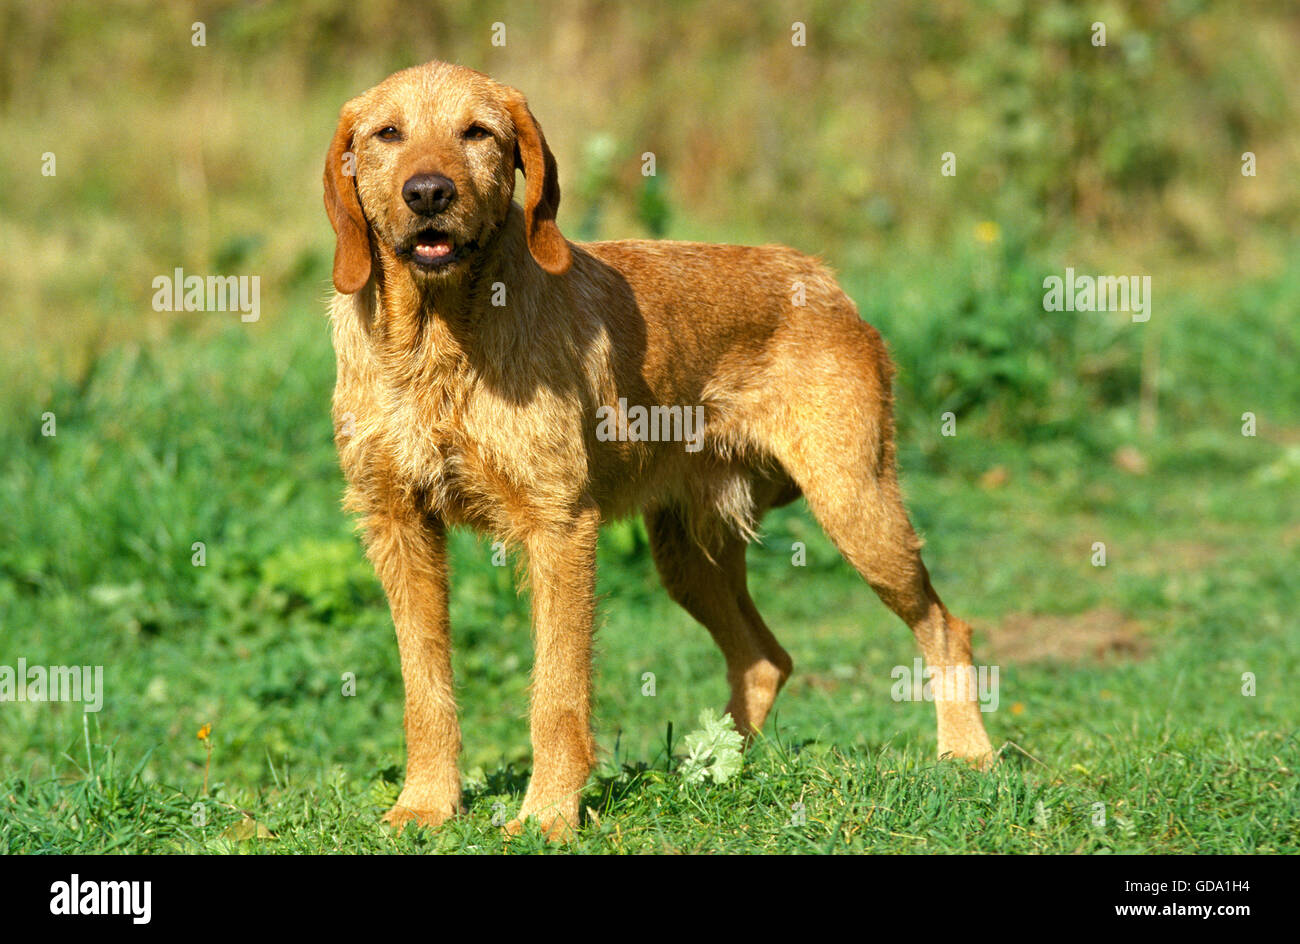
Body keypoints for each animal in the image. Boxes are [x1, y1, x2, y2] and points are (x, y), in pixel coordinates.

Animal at [325, 61, 993, 842]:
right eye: (387, 133)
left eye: (478, 132)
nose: (428, 192)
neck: (435, 341)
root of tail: (823, 279)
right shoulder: (397, 524)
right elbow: (425, 689)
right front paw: (426, 805)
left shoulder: (558, 529)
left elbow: (557, 694)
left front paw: (548, 815)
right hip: (687, 556)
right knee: (763, 658)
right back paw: (710, 766)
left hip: (858, 510)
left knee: (946, 626)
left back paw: (967, 754)